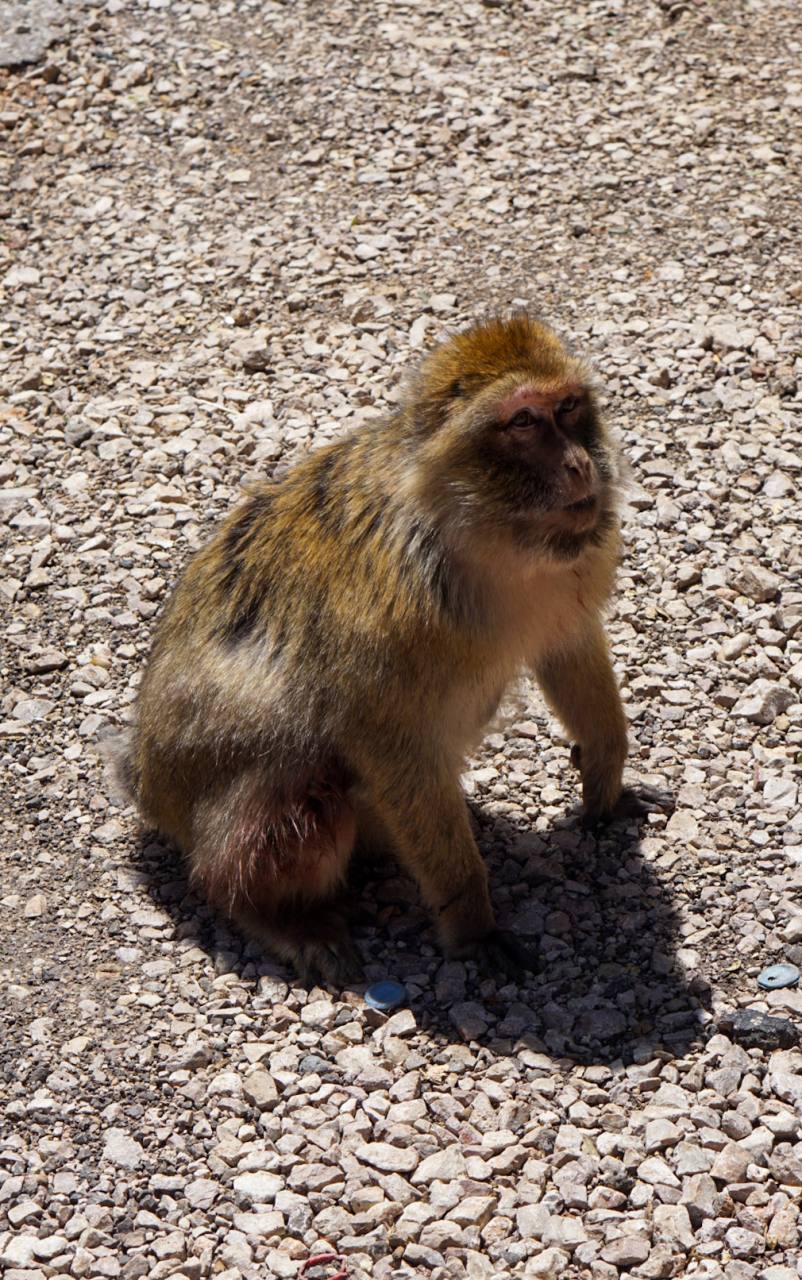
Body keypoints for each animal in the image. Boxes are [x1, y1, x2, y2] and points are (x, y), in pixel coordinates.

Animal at [122, 313, 639, 986]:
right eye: (524, 421)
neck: (481, 539)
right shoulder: (393, 619)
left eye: (569, 408)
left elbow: (568, 646)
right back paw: (269, 914)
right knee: (304, 801)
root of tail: (144, 781)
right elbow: (390, 745)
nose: (580, 465)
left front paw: (605, 769)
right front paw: (473, 922)